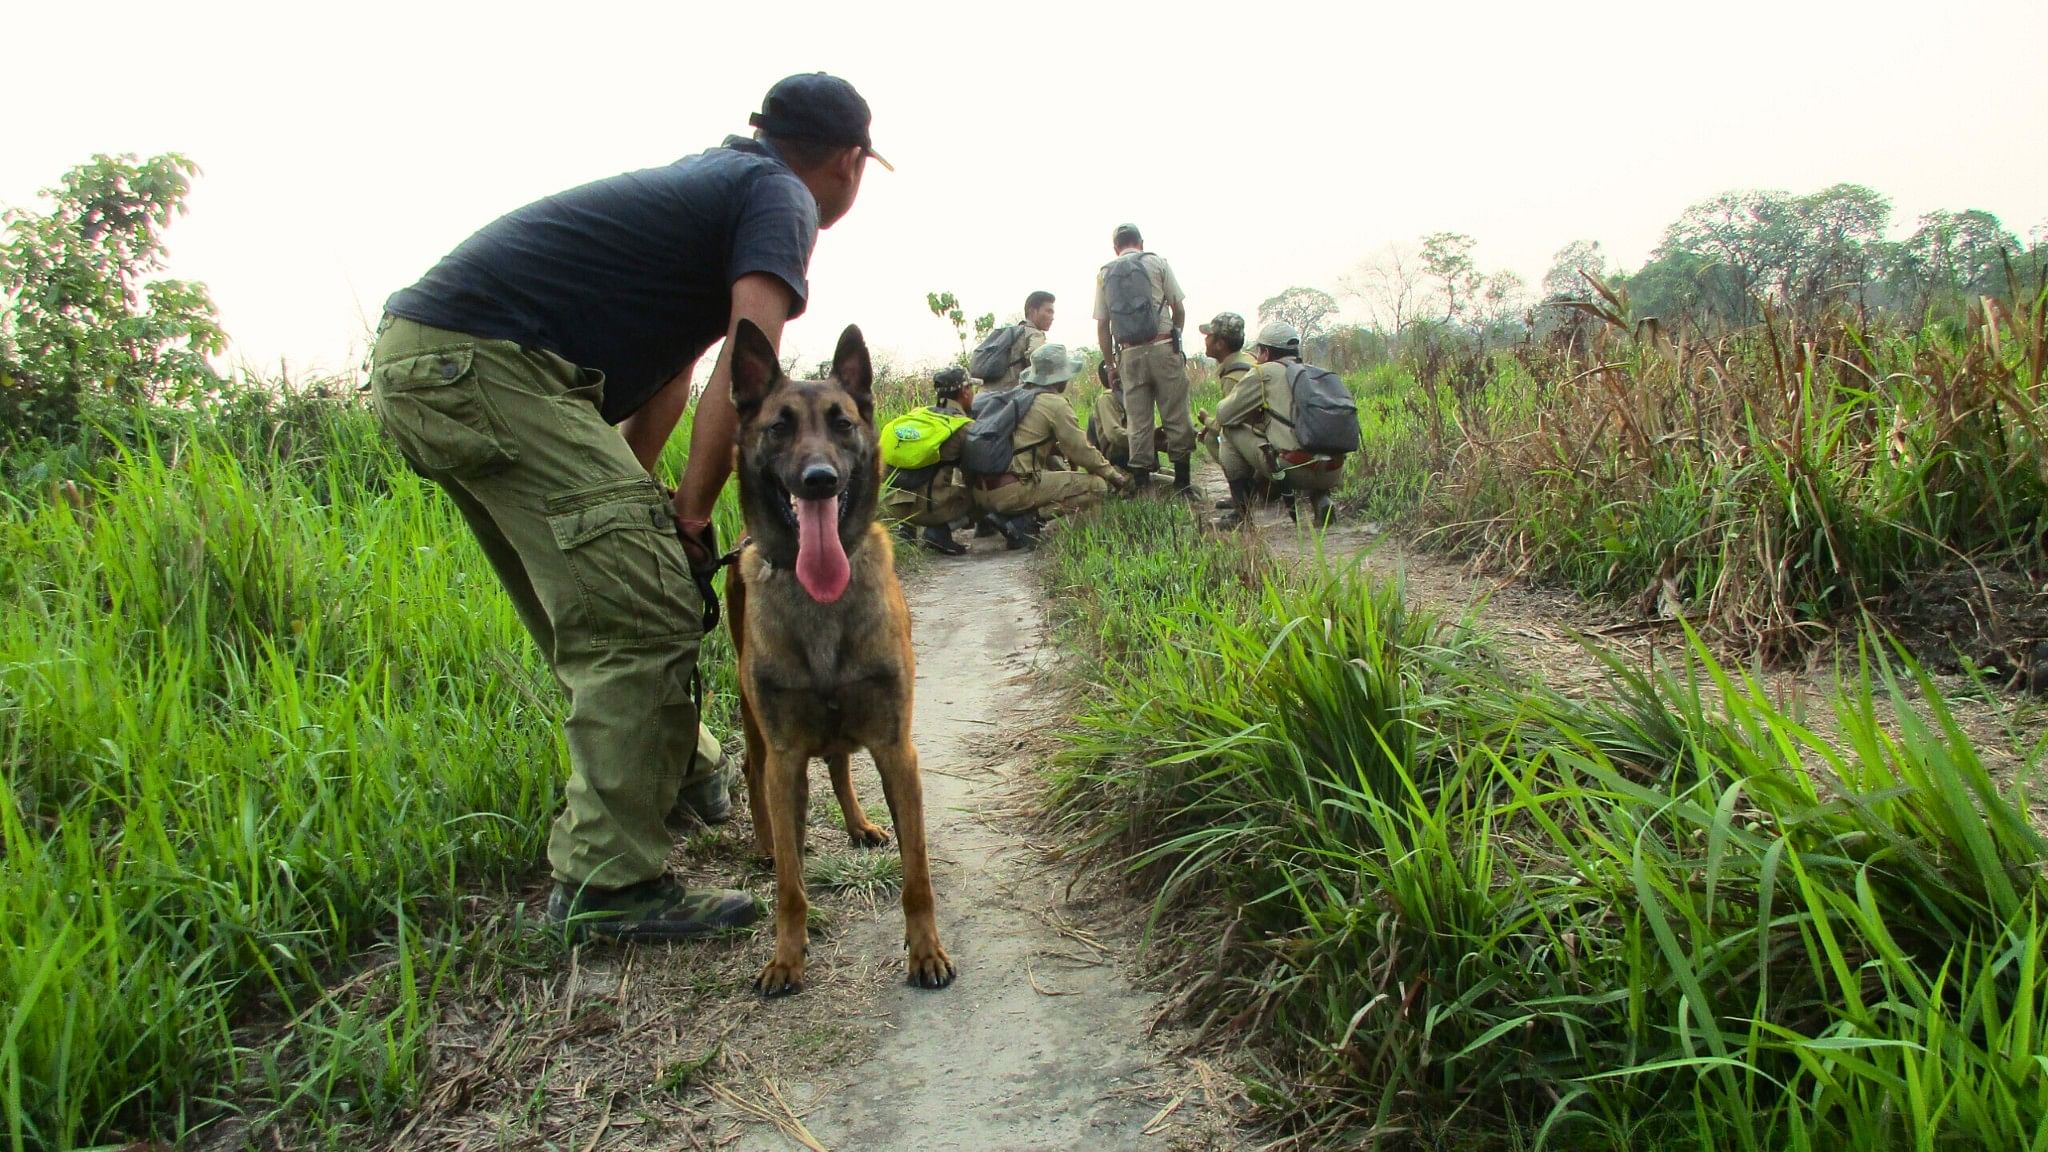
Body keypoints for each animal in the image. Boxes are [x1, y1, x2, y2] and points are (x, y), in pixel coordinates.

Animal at [724, 317, 954, 992]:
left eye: (842, 422)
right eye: (779, 426)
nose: (820, 479)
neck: (820, 601)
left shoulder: (896, 747)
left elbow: (916, 873)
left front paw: (926, 952)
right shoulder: (785, 756)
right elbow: (790, 888)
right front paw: (785, 958)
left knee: (838, 763)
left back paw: (858, 824)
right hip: (756, 724)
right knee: (753, 770)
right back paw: (765, 843)